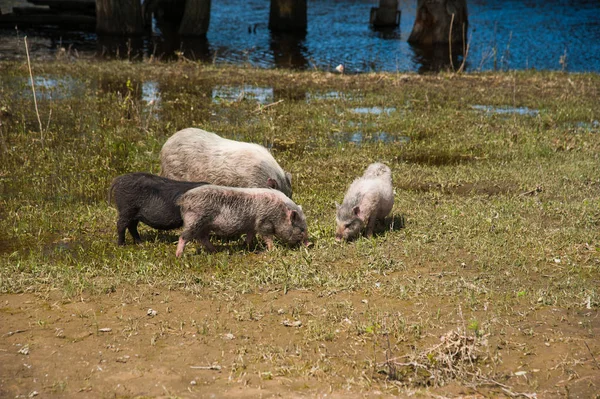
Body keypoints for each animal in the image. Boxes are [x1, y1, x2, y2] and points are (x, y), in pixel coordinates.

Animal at [175, 184, 310, 256]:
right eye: (301, 229)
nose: (310, 244)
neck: (279, 212)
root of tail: (183, 199)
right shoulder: (263, 222)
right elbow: (268, 237)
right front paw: (273, 250)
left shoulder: (252, 226)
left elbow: (250, 235)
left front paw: (247, 246)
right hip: (194, 221)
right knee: (183, 237)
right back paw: (179, 256)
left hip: (205, 225)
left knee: (202, 238)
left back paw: (216, 251)